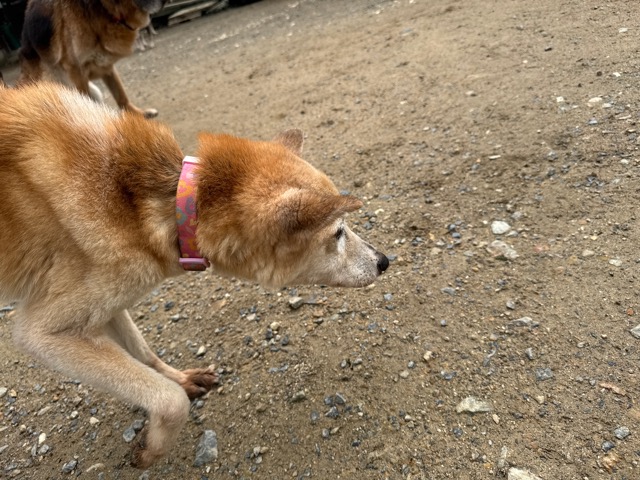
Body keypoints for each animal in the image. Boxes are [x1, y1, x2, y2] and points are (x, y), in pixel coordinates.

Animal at [0, 82, 389, 468]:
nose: (384, 260)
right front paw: (150, 448)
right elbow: (171, 401)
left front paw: (178, 378)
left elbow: (143, 355)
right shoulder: (43, 332)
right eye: (337, 233)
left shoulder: (103, 302)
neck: (159, 203)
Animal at [17, 0, 164, 118]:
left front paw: (138, 114)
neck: (102, 7)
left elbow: (121, 95)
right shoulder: (77, 72)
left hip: (96, 92)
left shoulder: (106, 67)